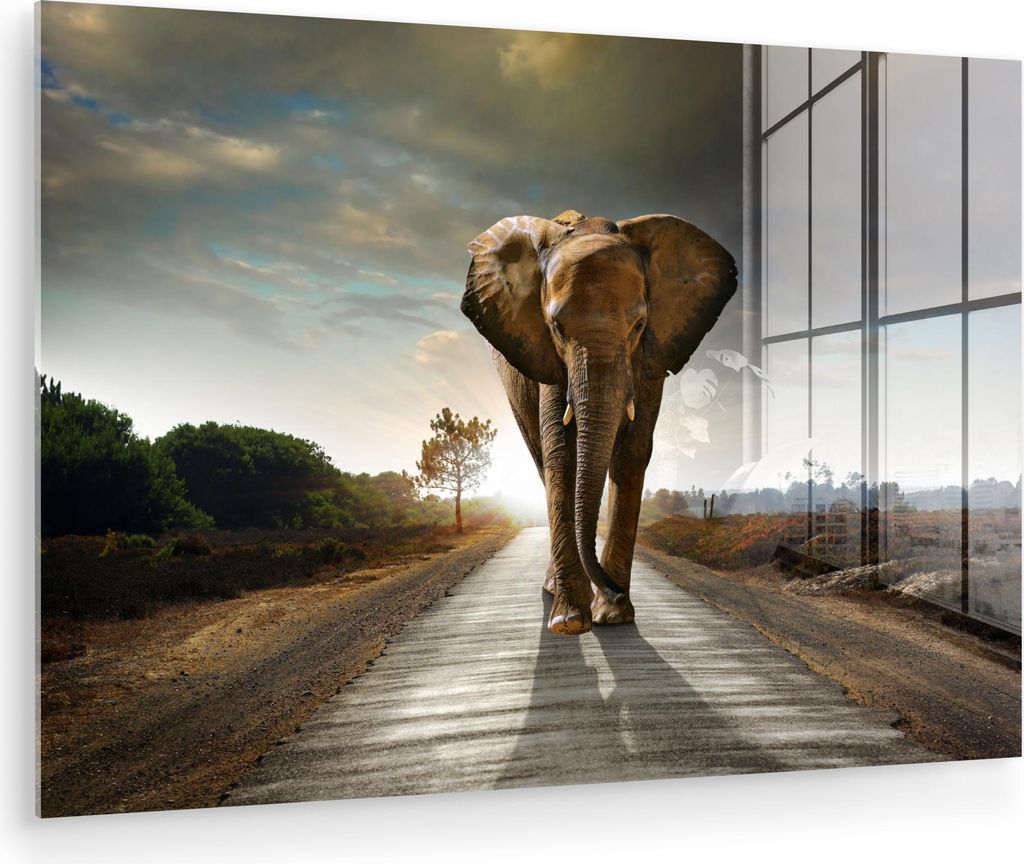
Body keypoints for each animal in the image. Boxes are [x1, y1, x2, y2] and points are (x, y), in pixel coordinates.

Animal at [461, 209, 737, 636]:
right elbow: (561, 452)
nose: (612, 588)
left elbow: (632, 452)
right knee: (542, 460)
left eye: (639, 325)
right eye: (556, 328)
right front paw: (572, 621)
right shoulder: (546, 356)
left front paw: (614, 616)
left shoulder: (652, 355)